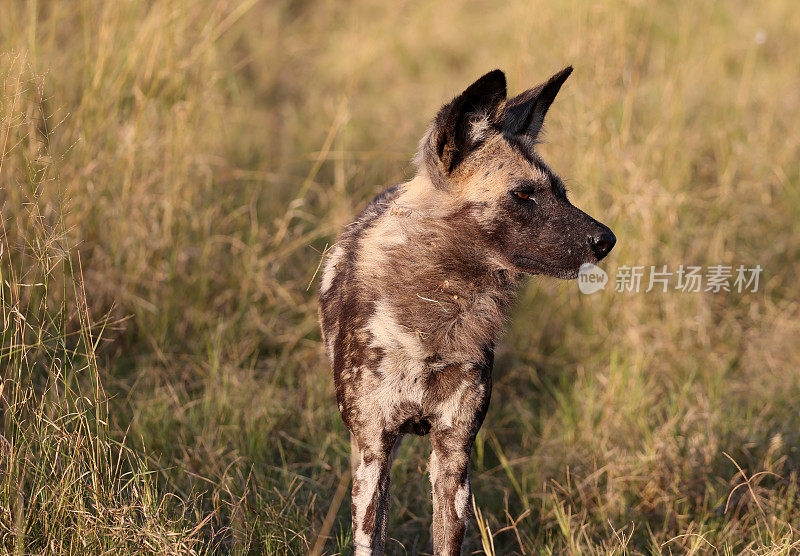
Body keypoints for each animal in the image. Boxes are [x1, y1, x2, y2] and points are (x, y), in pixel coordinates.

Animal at [316, 67, 616, 552]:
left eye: (562, 193)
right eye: (523, 195)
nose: (607, 239)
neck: (438, 313)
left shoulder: (455, 452)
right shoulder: (374, 447)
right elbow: (370, 536)